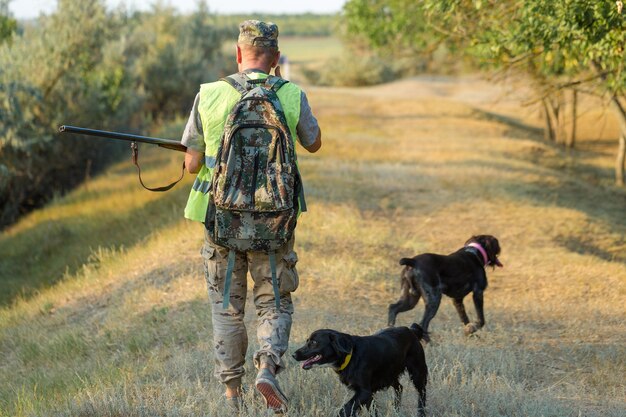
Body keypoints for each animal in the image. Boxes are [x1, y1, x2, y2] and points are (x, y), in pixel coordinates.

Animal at [292, 324, 424, 414]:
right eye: (307, 341)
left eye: (314, 342)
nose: (293, 355)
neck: (351, 355)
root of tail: (411, 330)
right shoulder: (368, 392)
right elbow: (372, 409)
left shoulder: (364, 391)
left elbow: (345, 409)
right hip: (389, 375)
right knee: (399, 387)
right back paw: (396, 409)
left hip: (417, 373)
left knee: (421, 394)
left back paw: (421, 412)